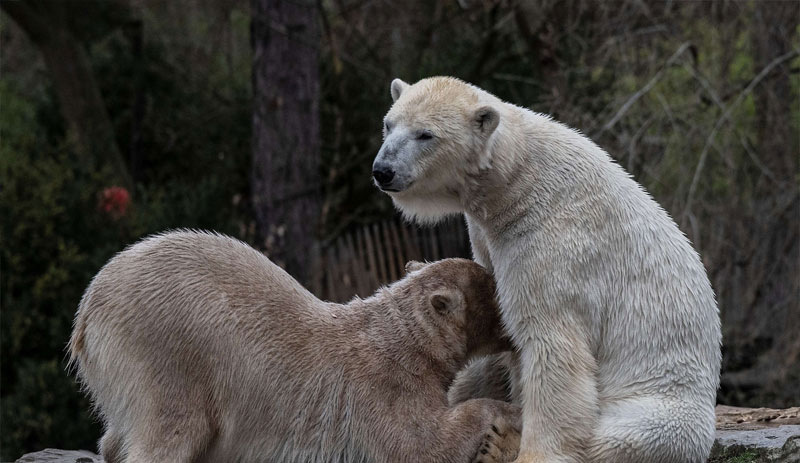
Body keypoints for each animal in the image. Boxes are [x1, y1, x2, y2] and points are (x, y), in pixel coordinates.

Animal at [67, 231, 520, 463]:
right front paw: (507, 412)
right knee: (174, 428)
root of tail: (88, 310)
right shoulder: (381, 389)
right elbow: (420, 444)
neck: (403, 341)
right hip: (164, 347)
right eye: (497, 294)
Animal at [372, 77, 720, 463]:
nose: (383, 170)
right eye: (388, 125)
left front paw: (529, 450)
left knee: (621, 437)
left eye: (425, 134)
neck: (516, 180)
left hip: (662, 404)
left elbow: (550, 342)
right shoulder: (486, 236)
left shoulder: (553, 239)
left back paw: (501, 443)